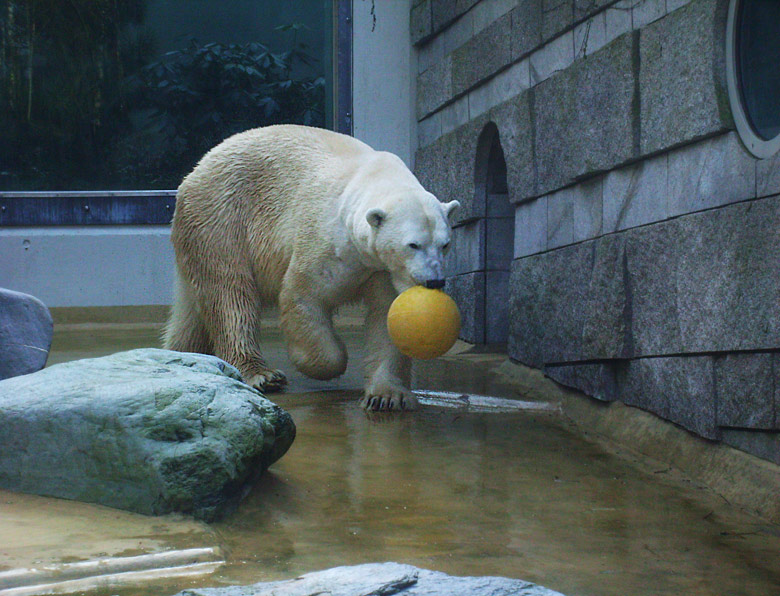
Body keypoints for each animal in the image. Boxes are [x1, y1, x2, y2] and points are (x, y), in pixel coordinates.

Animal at [163, 124, 458, 414]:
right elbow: (304, 295)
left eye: (445, 244)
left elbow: (388, 318)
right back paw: (262, 374)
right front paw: (331, 362)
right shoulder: (326, 242)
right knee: (231, 296)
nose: (435, 281)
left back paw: (182, 355)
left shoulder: (383, 271)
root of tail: (194, 172)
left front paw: (386, 396)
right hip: (221, 217)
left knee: (195, 312)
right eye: (413, 245)